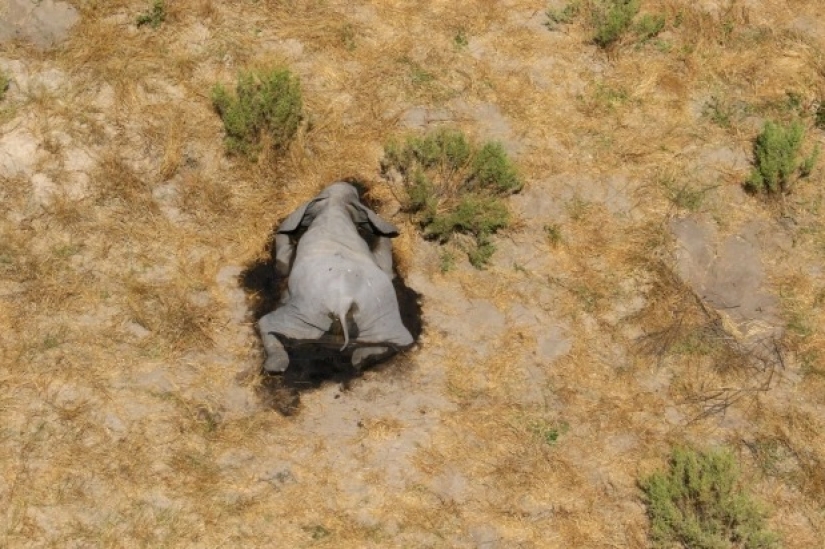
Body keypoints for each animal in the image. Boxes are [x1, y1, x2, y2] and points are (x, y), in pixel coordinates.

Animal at [257, 182, 415, 373]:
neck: (334, 206)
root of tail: (343, 304)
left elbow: (283, 264)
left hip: (306, 314)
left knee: (267, 323)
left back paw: (275, 365)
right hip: (380, 314)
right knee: (400, 340)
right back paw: (362, 359)